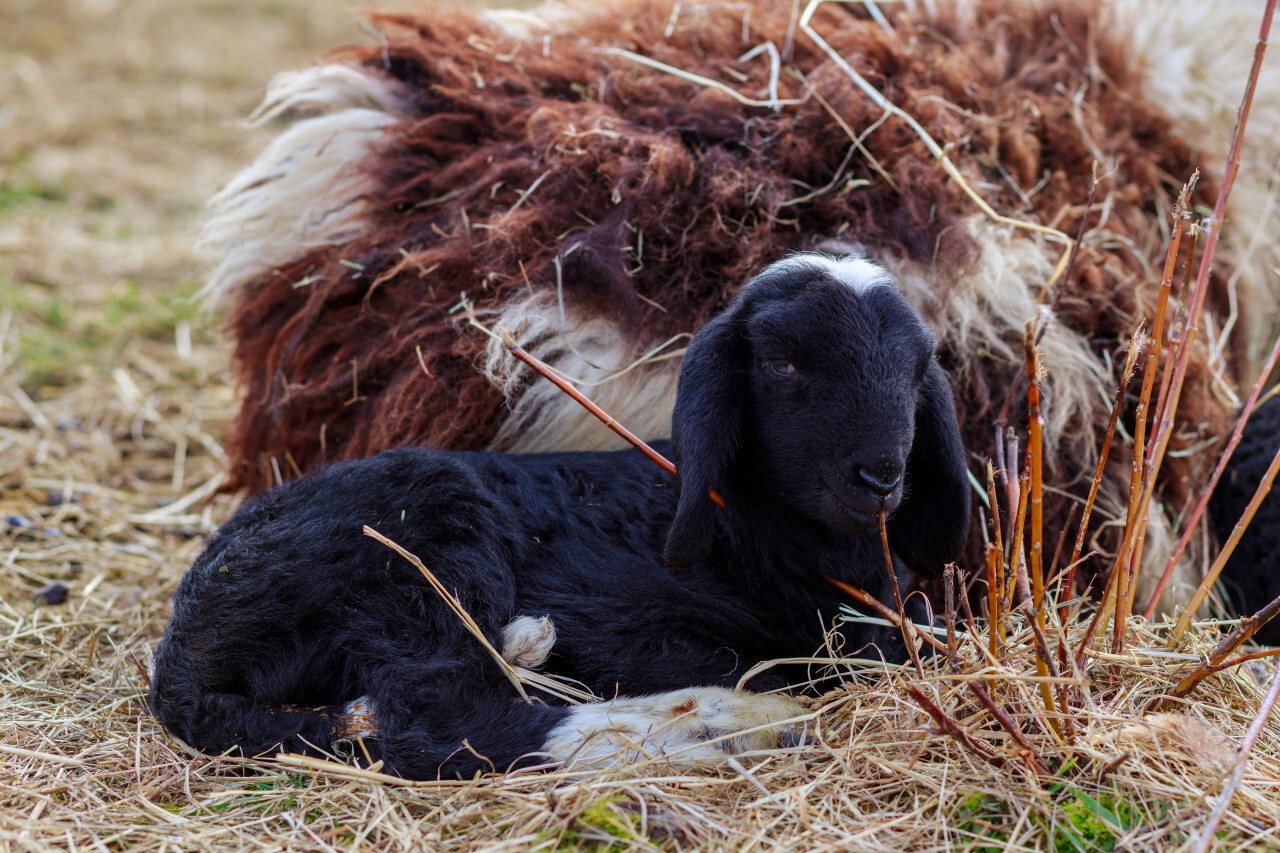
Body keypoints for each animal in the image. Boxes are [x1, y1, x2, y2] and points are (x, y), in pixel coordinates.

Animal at [149, 252, 967, 778]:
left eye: (915, 370)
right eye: (782, 363)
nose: (881, 475)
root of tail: (182, 656)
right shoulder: (624, 623)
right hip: (420, 538)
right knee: (436, 722)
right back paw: (717, 727)